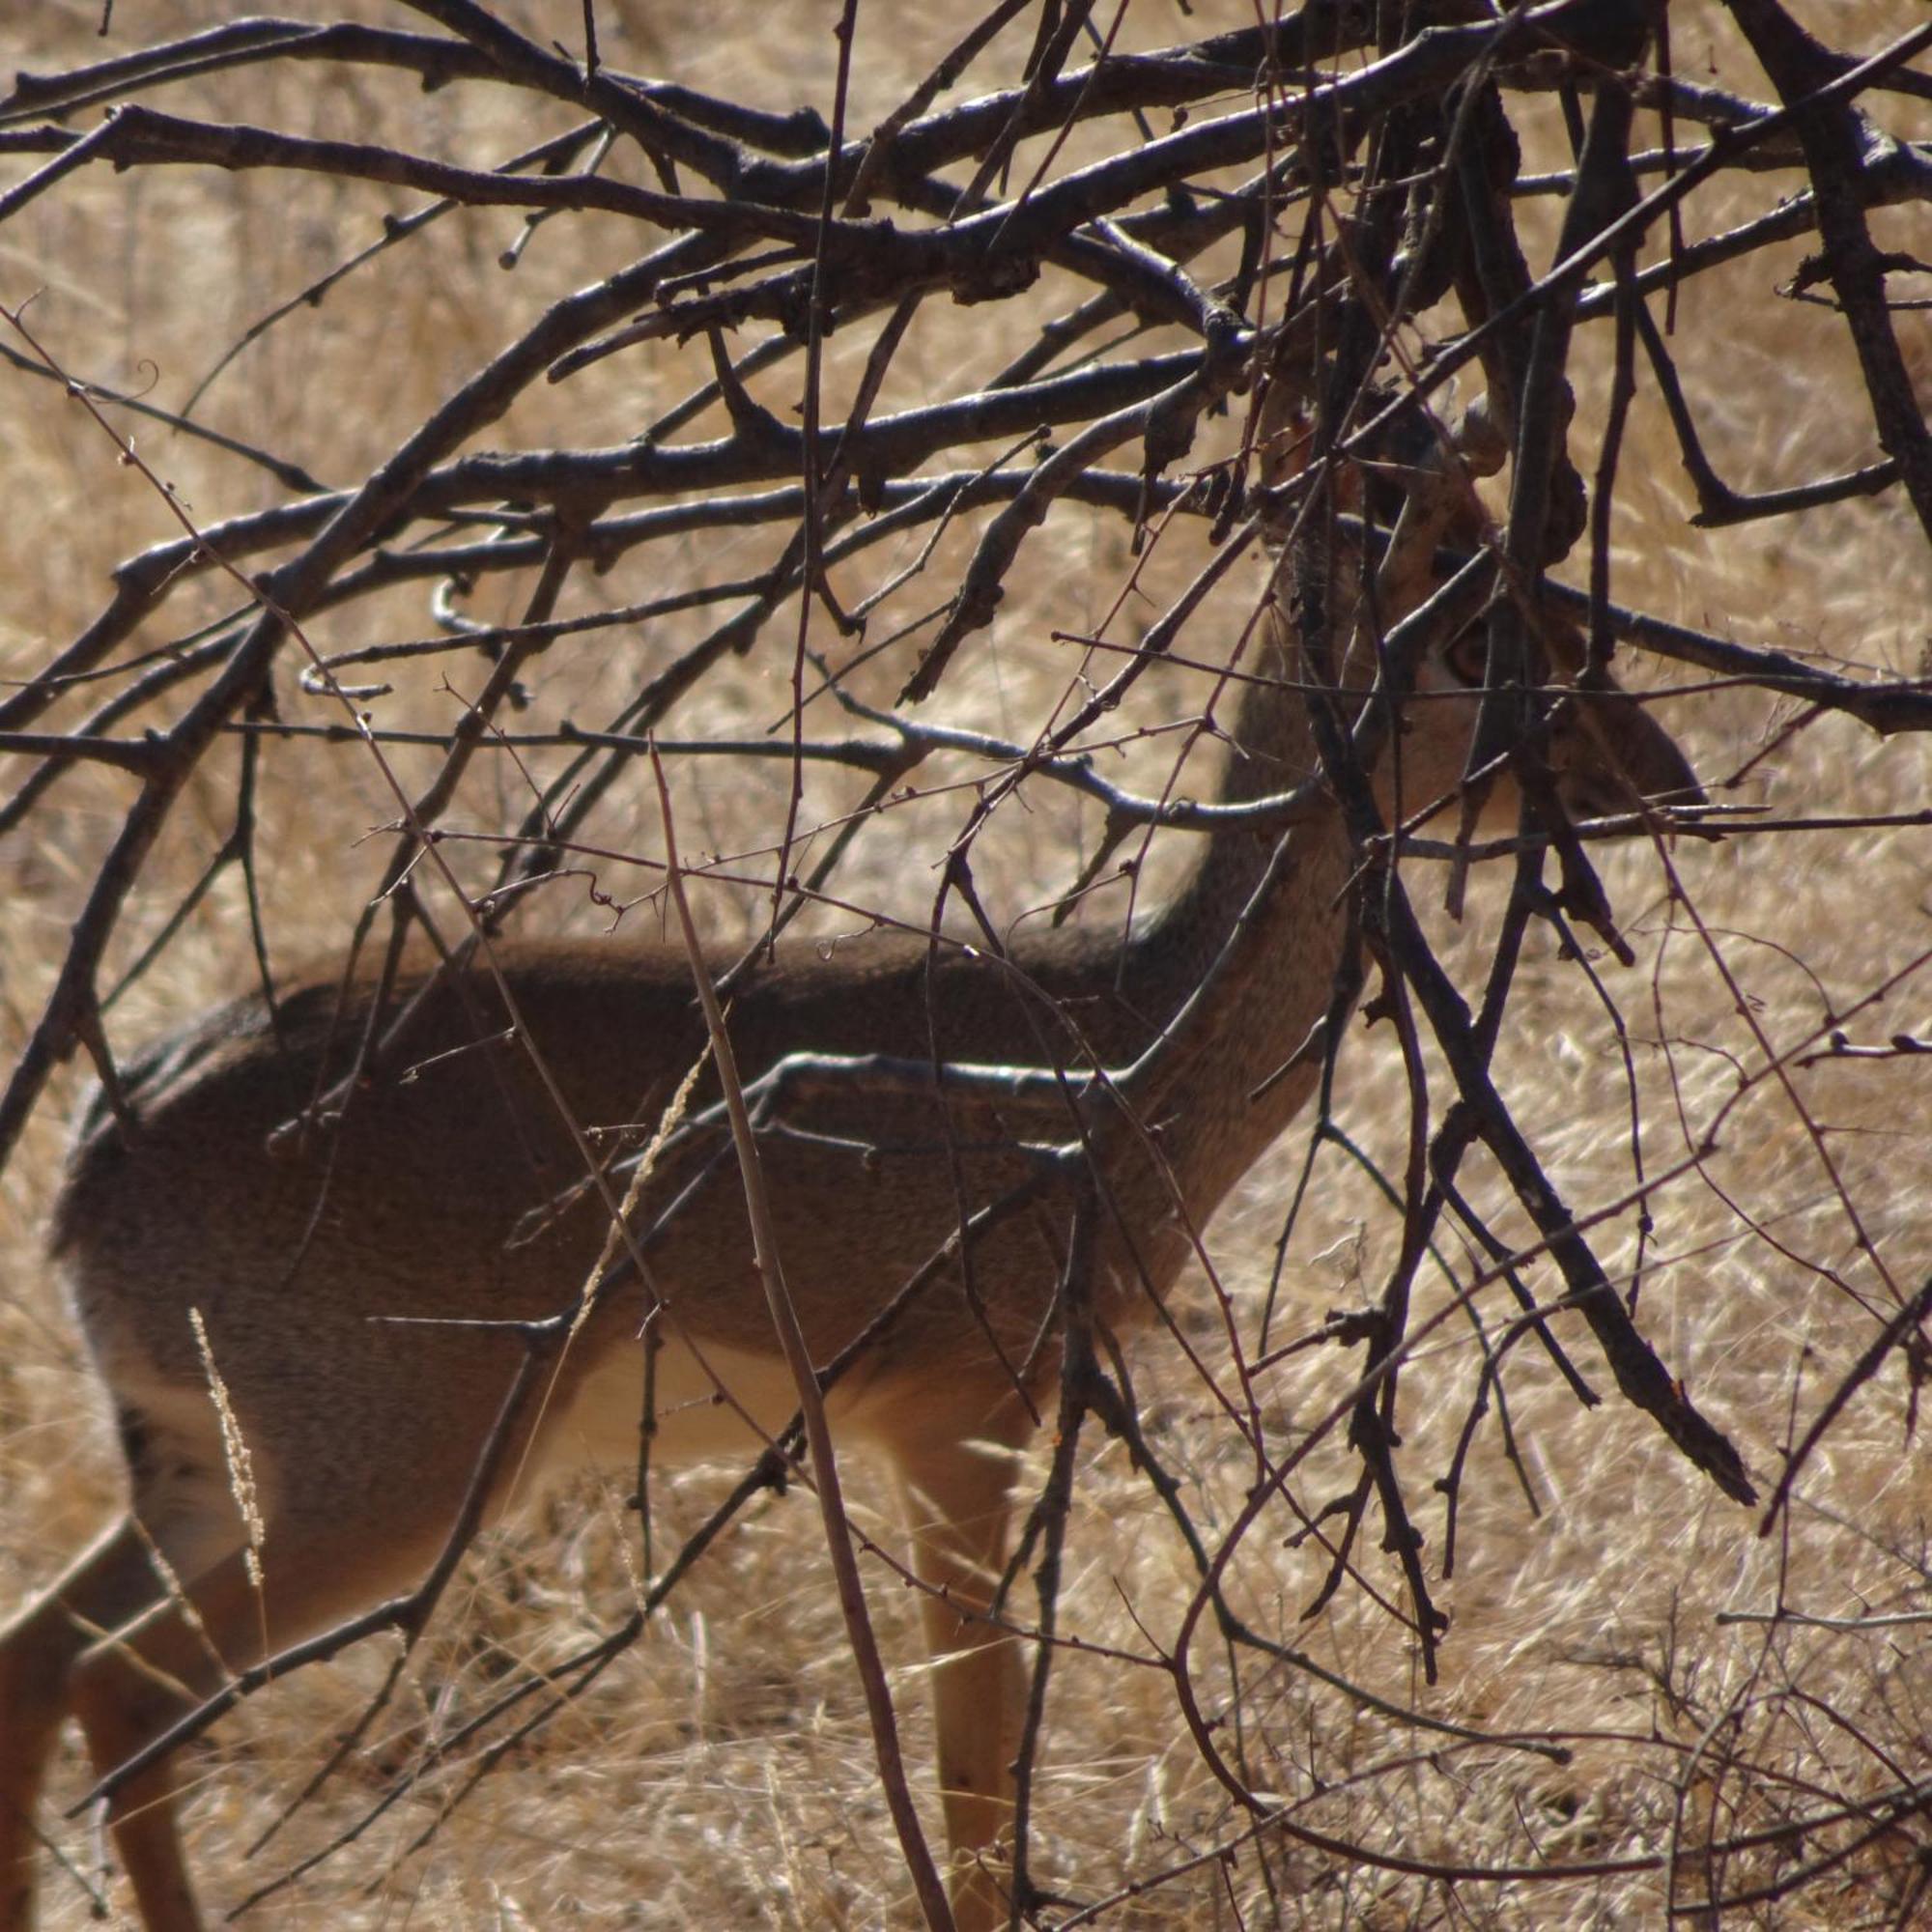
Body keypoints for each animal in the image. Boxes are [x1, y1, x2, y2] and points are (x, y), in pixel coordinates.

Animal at [0, 396, 1692, 1932]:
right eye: (1470, 620)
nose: (1657, 768)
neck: (1116, 1035)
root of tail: (95, 1164)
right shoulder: (960, 1418)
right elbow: (974, 1775)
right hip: (381, 1472)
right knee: (120, 1691)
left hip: (206, 1464)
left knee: (38, 1656)